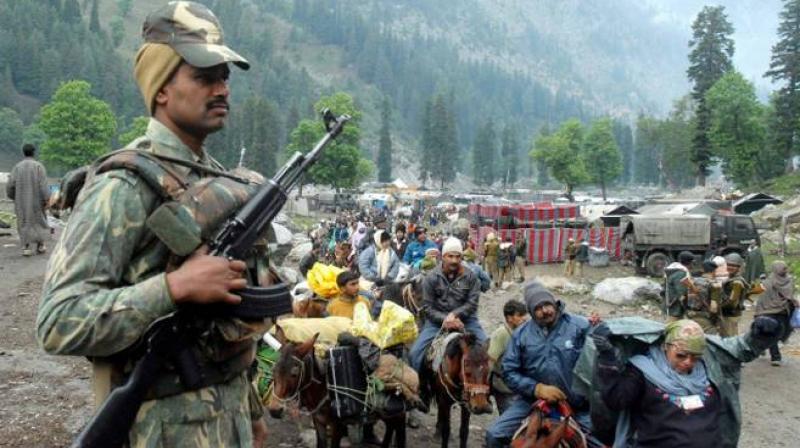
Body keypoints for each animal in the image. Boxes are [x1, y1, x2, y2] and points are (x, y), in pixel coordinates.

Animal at [268, 328, 406, 446]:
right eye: (273, 370)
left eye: (294, 373)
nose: (274, 410)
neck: (324, 390)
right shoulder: (319, 422)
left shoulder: (337, 426)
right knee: (390, 426)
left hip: (396, 410)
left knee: (399, 429)